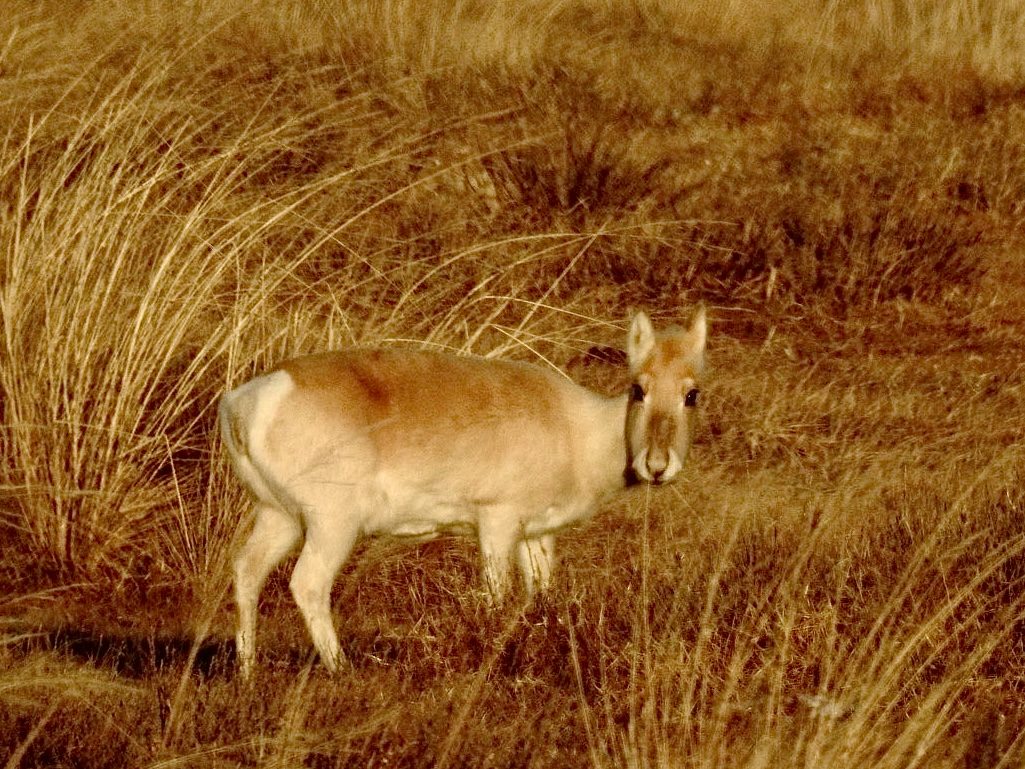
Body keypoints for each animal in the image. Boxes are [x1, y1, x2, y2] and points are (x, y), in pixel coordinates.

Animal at [220, 308, 706, 677]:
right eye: (638, 387)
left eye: (692, 393)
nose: (656, 467)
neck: (574, 423)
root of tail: (245, 401)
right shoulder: (496, 525)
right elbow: (494, 595)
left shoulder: (536, 536)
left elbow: (541, 595)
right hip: (331, 526)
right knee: (308, 584)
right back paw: (341, 669)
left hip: (279, 518)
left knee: (247, 571)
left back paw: (247, 671)